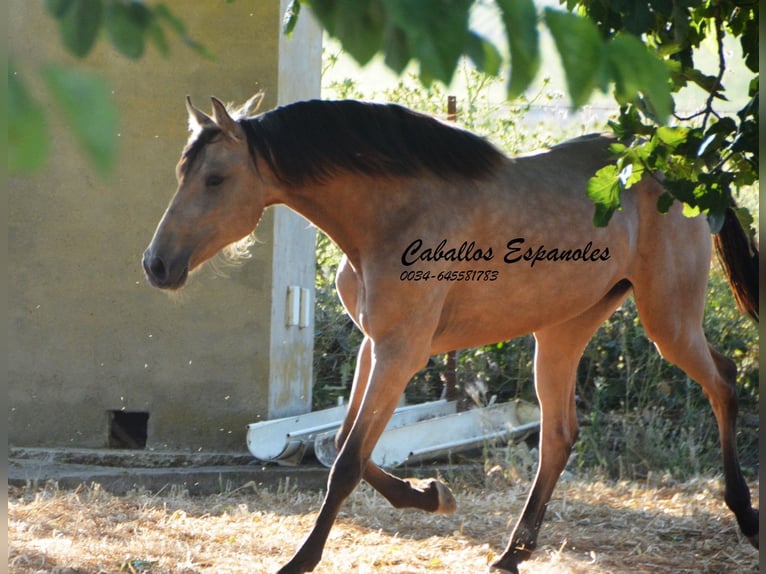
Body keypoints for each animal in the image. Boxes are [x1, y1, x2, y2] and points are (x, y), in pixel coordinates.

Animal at [141, 97, 760, 572]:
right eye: (180, 175)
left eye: (215, 179)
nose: (156, 265)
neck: (391, 213)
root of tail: (683, 170)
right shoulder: (373, 347)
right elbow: (342, 444)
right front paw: (430, 495)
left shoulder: (400, 353)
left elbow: (345, 462)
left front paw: (301, 560)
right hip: (563, 330)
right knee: (559, 435)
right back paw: (512, 553)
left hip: (668, 321)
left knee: (724, 383)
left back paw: (746, 515)